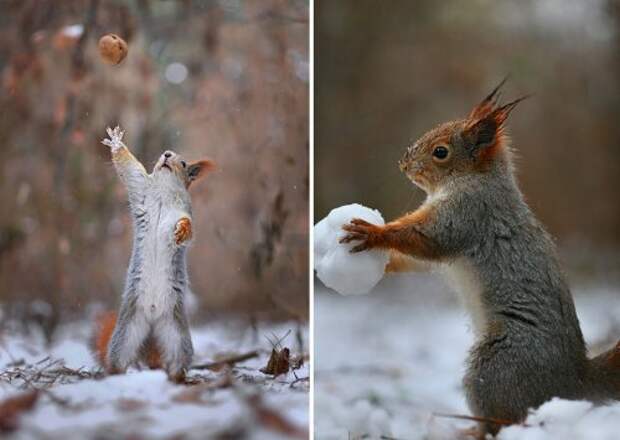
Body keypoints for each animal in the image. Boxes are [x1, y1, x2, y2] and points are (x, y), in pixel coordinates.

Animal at [94, 126, 216, 382]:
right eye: (164, 153)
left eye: (184, 162)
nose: (167, 154)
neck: (164, 190)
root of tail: (152, 318)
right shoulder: (140, 188)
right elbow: (130, 169)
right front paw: (116, 143)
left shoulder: (182, 212)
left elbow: (186, 226)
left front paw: (182, 231)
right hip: (127, 331)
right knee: (119, 359)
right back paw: (114, 376)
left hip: (176, 335)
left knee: (177, 362)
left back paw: (179, 379)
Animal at [340, 80, 620, 436]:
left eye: (441, 152)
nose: (403, 163)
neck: (475, 179)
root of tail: (573, 384)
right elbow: (419, 260)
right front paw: (383, 263)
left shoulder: (467, 215)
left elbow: (427, 240)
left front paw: (373, 233)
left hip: (496, 367)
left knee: (506, 419)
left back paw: (472, 430)